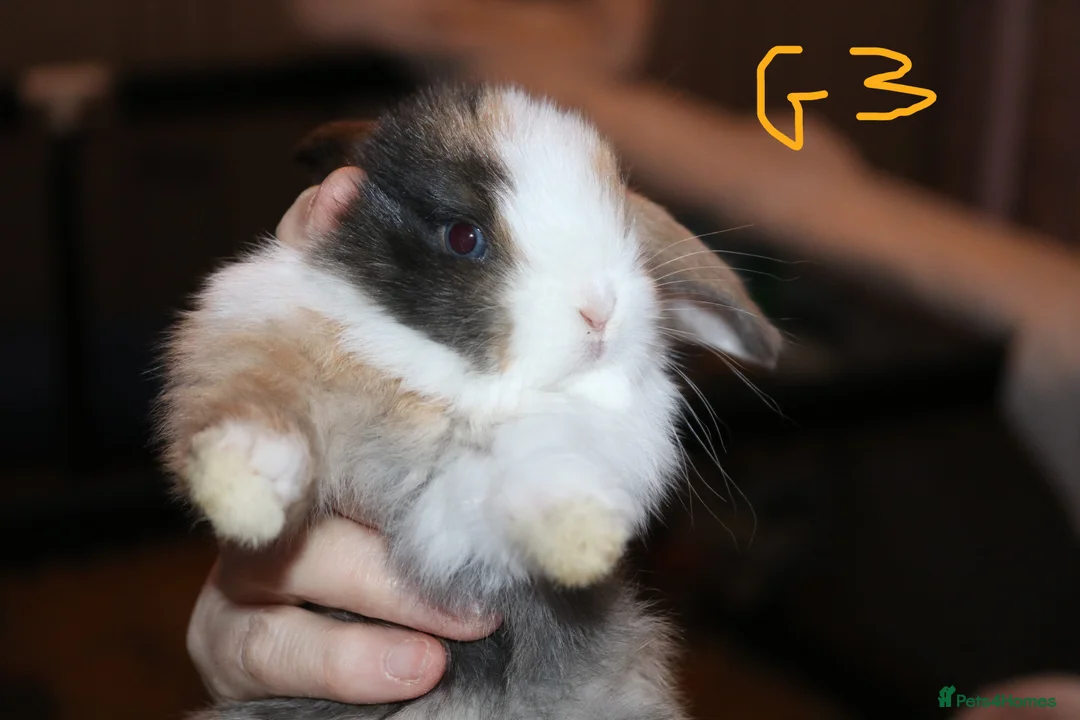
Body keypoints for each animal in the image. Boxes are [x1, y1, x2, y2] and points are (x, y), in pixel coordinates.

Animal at [157, 83, 783, 720]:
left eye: (623, 229)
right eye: (464, 237)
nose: (600, 310)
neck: (456, 385)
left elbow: (549, 470)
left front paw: (583, 544)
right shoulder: (264, 337)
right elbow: (259, 408)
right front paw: (243, 498)